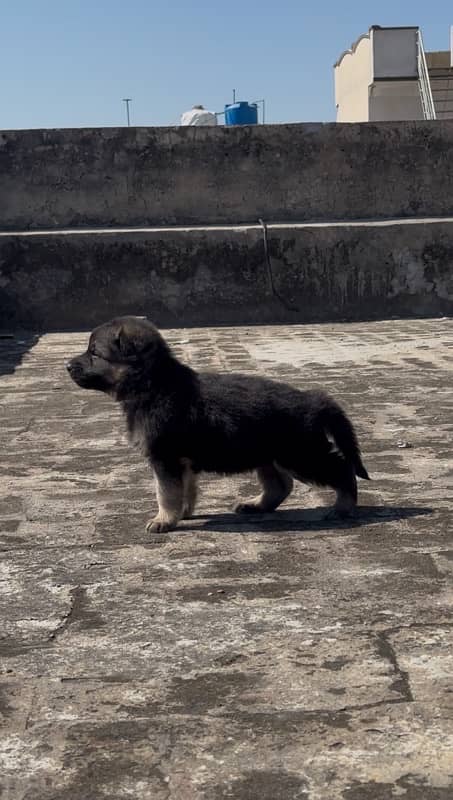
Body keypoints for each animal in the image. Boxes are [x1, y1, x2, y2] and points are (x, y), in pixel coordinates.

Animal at [68, 318, 370, 532]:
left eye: (94, 353)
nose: (67, 366)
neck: (153, 383)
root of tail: (313, 399)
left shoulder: (165, 458)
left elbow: (165, 492)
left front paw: (164, 519)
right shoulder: (181, 460)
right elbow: (185, 488)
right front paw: (183, 513)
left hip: (302, 454)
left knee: (341, 469)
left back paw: (343, 507)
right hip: (268, 454)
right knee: (280, 485)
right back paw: (257, 506)